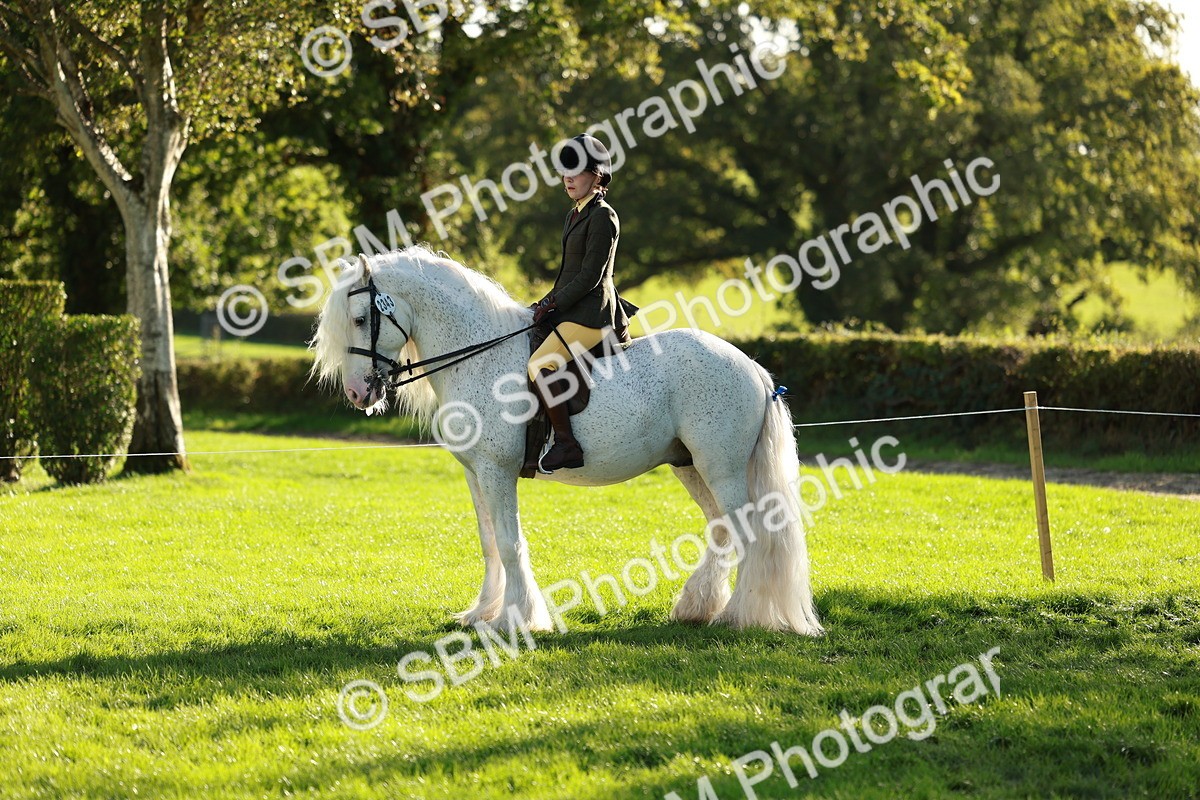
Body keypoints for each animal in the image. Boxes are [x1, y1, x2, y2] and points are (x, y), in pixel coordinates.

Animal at [310, 245, 822, 636]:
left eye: (361, 319)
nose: (357, 393)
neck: (480, 355)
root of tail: (751, 367)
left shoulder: (497, 471)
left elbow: (510, 543)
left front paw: (516, 620)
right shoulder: (477, 474)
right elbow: (489, 543)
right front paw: (482, 613)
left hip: (721, 466)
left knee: (747, 531)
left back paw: (738, 617)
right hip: (690, 466)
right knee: (721, 530)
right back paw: (697, 608)